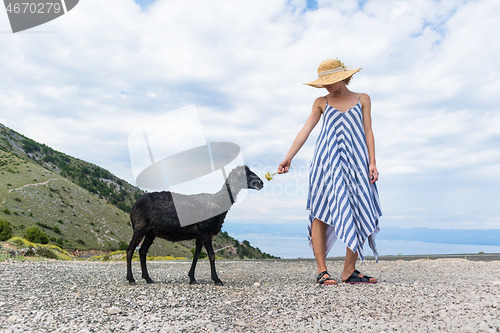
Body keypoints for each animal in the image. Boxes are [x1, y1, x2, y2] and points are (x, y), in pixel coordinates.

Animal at [127, 165, 264, 284]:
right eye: (245, 173)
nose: (261, 183)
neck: (217, 203)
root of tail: (133, 207)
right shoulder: (206, 232)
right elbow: (212, 256)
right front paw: (217, 280)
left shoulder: (199, 236)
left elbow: (196, 256)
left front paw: (192, 278)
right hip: (139, 228)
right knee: (130, 250)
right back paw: (131, 279)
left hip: (151, 232)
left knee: (142, 251)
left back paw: (148, 278)